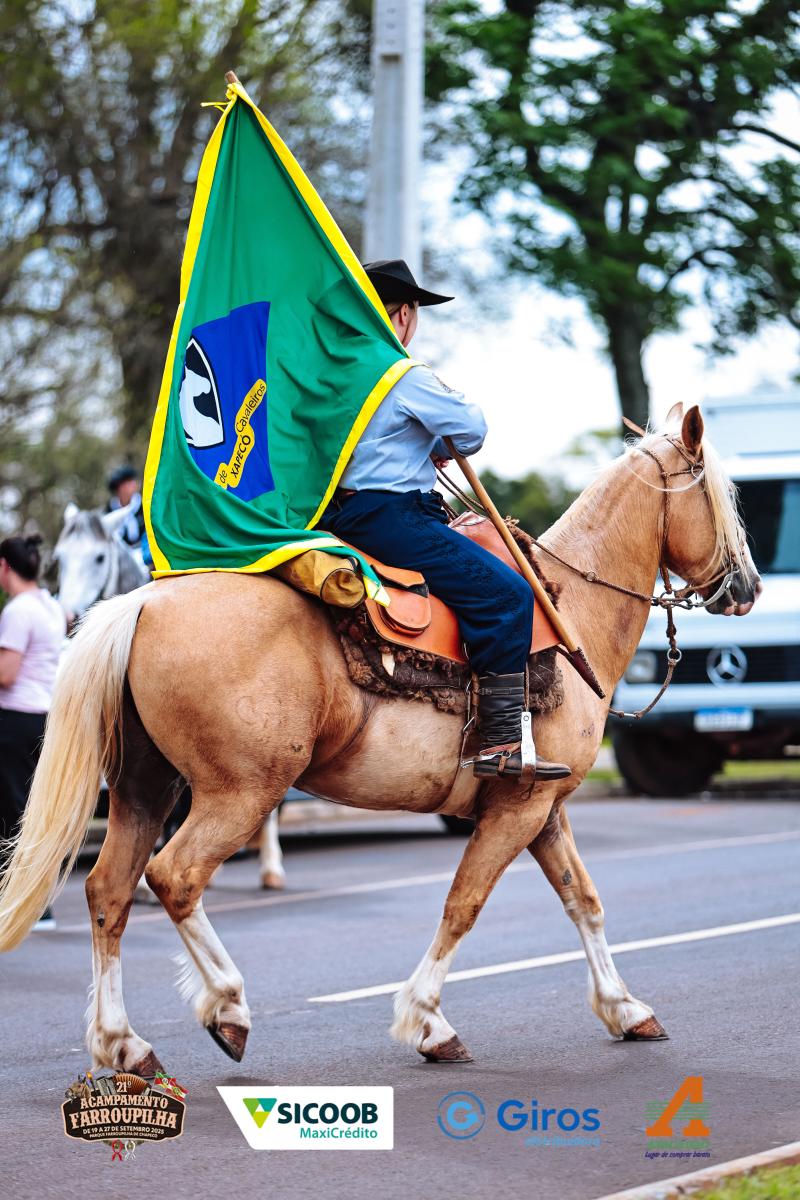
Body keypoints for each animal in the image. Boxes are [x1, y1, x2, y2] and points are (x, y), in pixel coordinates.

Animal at [0, 404, 760, 1075]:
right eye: (721, 494)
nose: (747, 586)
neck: (568, 604)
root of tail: (143, 601)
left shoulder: (543, 808)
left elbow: (585, 900)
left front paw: (625, 1008)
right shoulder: (515, 810)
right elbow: (464, 905)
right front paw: (428, 1022)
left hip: (144, 787)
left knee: (109, 892)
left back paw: (122, 1043)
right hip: (237, 792)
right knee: (174, 877)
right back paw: (227, 1006)